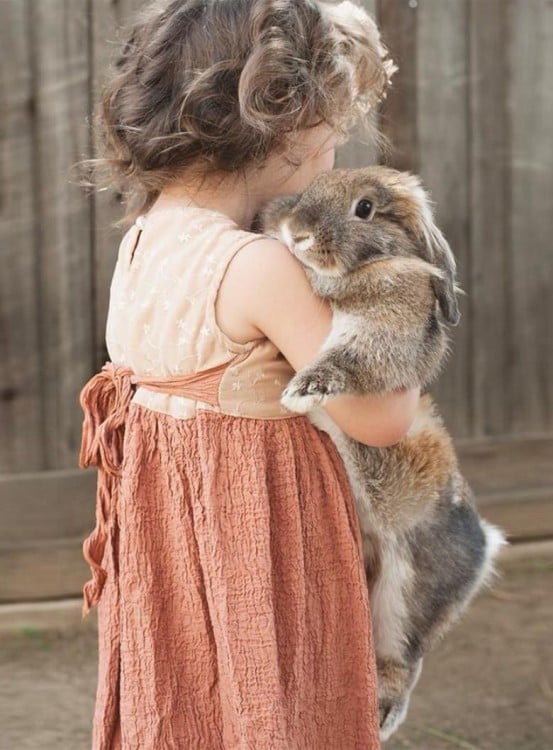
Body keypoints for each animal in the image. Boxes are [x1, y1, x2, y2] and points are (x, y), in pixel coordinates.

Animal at [254, 167, 504, 744]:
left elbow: (353, 356)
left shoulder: (390, 321)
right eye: (308, 189)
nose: (297, 233)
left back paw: (384, 716)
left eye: (365, 208)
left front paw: (304, 389)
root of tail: (484, 545)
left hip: (405, 593)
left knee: (403, 661)